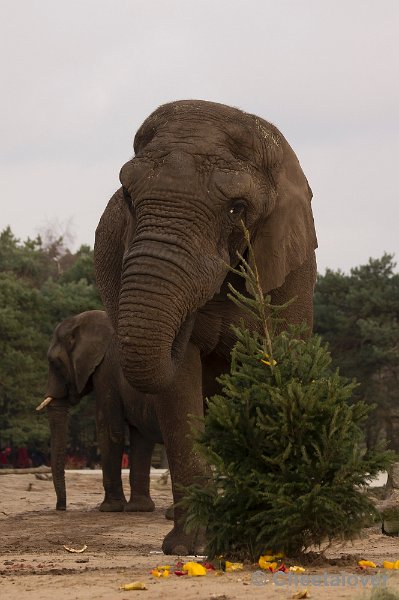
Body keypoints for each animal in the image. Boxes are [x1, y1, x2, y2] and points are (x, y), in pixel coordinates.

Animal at [38, 312, 165, 512]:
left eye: (54, 363)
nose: (61, 508)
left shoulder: (107, 371)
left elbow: (109, 429)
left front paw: (110, 508)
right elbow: (139, 435)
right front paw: (138, 509)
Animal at [94, 98, 318, 552]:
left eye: (237, 209)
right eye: (128, 195)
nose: (189, 323)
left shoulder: (293, 262)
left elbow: (277, 363)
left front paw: (274, 536)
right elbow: (180, 388)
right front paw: (191, 548)